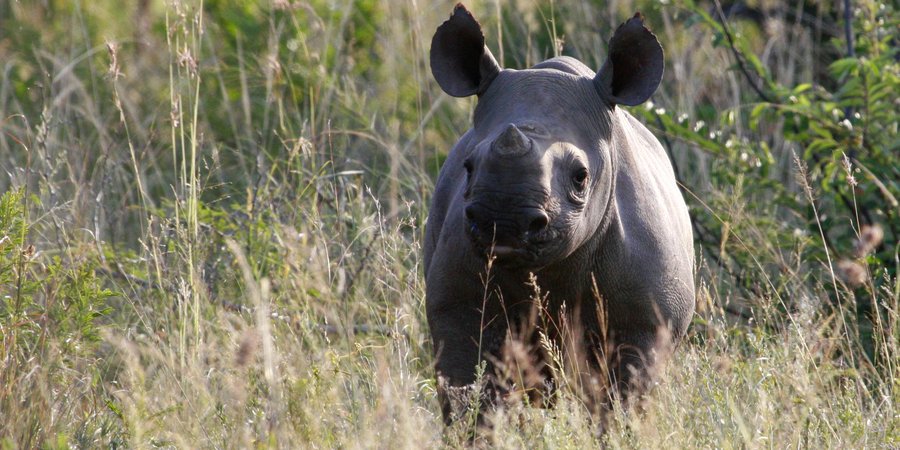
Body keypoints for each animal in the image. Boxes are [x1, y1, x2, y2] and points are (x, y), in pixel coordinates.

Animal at [424, 4, 695, 425]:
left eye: (581, 177)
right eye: (468, 167)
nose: (504, 221)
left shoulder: (647, 320)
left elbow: (624, 403)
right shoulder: (457, 303)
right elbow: (469, 395)